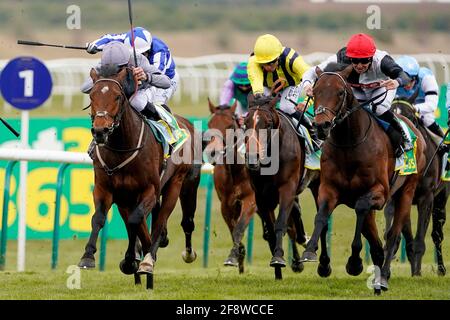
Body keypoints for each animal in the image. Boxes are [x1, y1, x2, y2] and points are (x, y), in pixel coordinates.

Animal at [78, 65, 201, 288]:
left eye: (118, 96)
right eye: (91, 96)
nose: (100, 131)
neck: (122, 147)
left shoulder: (149, 190)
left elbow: (137, 221)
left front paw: (136, 261)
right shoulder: (108, 190)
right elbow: (99, 218)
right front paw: (88, 257)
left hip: (179, 184)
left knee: (167, 221)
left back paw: (152, 258)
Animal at [206, 99, 308, 272]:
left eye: (229, 125)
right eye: (209, 124)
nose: (213, 152)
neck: (235, 170)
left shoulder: (251, 200)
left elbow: (240, 227)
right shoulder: (226, 204)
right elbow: (234, 229)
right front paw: (238, 255)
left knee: (291, 227)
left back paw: (297, 260)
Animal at [243, 94, 320, 278]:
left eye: (267, 124)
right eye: (245, 123)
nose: (252, 157)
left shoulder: (287, 188)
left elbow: (280, 223)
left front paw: (278, 257)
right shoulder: (262, 197)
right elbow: (271, 231)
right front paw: (278, 271)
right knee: (295, 215)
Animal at [302, 63, 426, 296]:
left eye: (340, 93)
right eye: (315, 91)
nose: (321, 126)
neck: (350, 144)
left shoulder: (379, 193)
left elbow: (361, 209)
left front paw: (354, 262)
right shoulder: (328, 189)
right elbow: (321, 216)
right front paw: (312, 253)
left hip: (406, 192)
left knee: (393, 235)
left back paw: (383, 277)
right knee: (375, 241)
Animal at [388, 94, 448, 276]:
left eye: (412, 118)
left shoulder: (426, 198)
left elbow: (420, 239)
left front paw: (417, 274)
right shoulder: (400, 197)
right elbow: (407, 239)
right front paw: (415, 271)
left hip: (441, 198)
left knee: (437, 234)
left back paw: (441, 269)